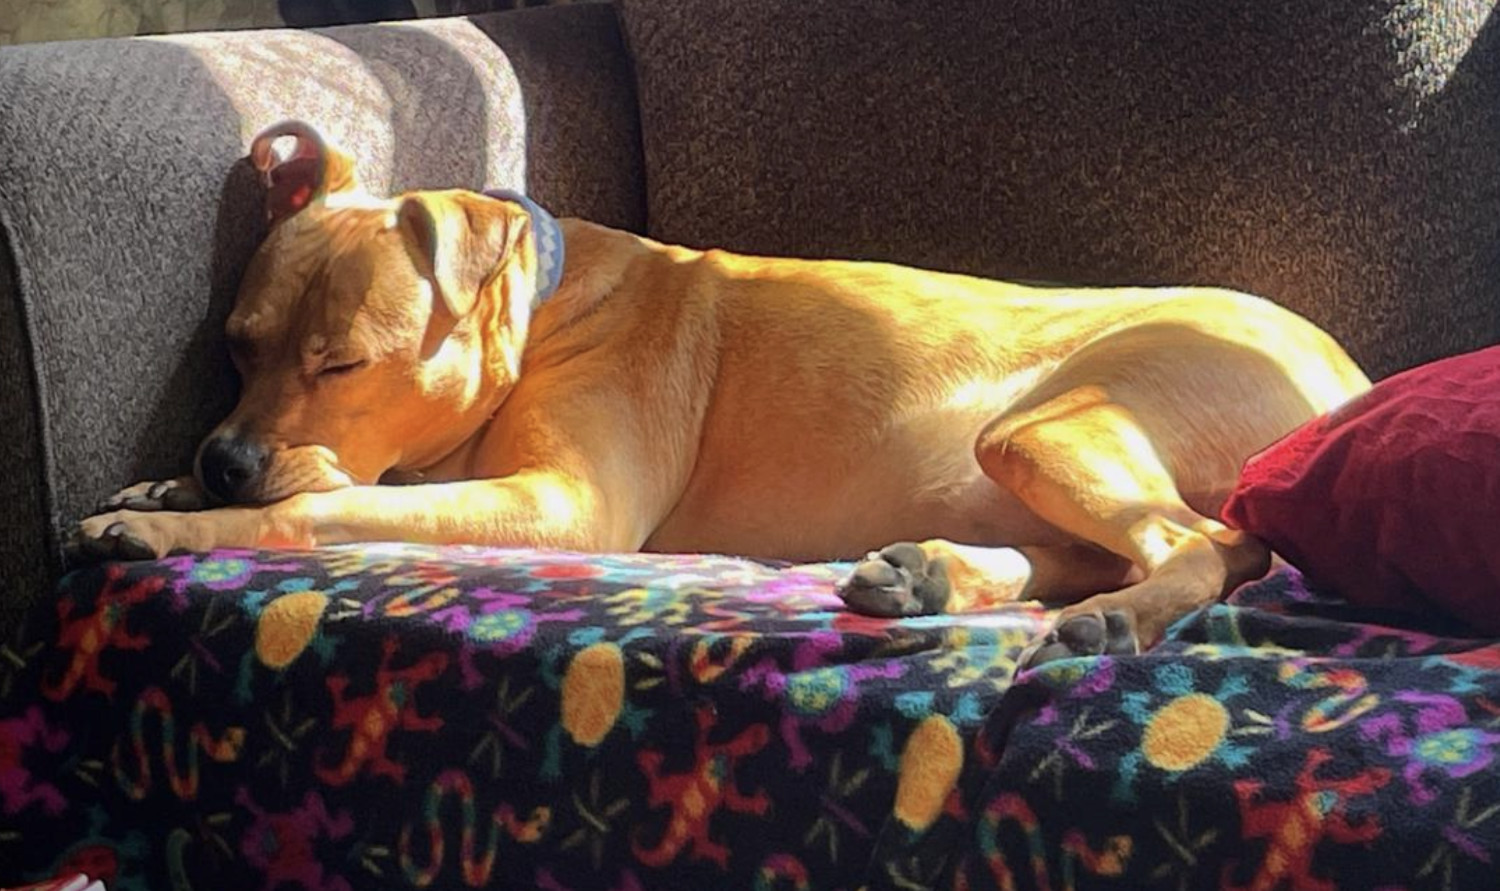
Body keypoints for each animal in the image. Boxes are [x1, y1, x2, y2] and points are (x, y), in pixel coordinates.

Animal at [79, 121, 1374, 669]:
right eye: (236, 346)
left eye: (343, 363)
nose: (223, 459)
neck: (537, 310)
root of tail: (1349, 374)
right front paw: (167, 486)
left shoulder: (564, 508)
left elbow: (329, 504)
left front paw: (181, 522)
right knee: (1138, 546)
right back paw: (935, 575)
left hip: (1047, 427)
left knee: (1207, 543)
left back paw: (1118, 617)